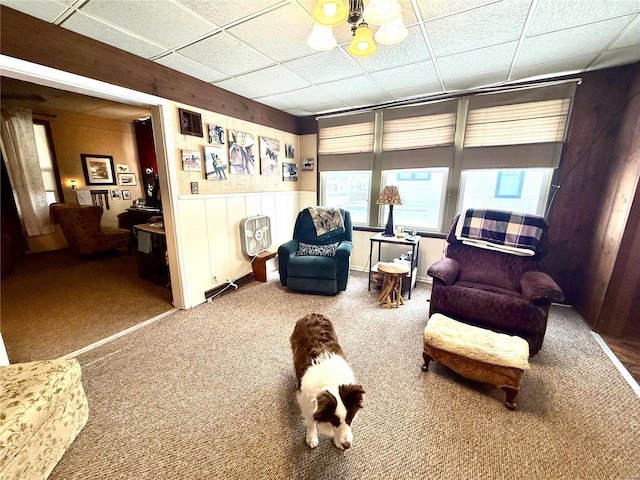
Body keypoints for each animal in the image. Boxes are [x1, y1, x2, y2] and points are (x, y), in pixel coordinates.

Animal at [290, 314, 364, 448]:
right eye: (334, 420)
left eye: (349, 418)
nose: (347, 445)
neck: (331, 383)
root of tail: (311, 314)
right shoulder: (306, 401)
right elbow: (311, 421)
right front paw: (312, 438)